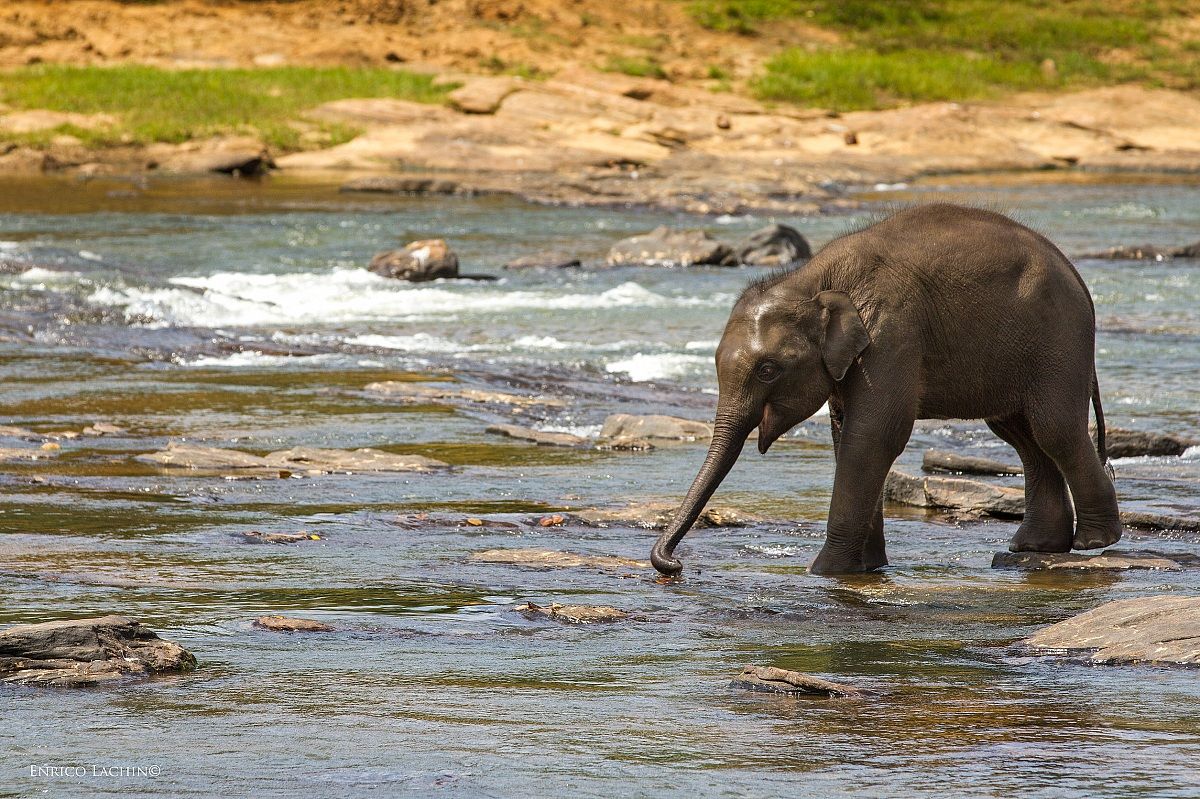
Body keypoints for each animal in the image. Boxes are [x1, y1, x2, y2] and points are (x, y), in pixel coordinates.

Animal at [651, 203, 1122, 576]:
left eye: (768, 370)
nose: (676, 565)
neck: (813, 280)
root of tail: (1077, 277)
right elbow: (846, 434)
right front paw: (867, 567)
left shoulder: (891, 334)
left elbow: (873, 436)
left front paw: (824, 571)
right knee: (1020, 433)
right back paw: (1034, 547)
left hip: (1059, 342)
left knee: (1053, 427)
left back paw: (1093, 543)